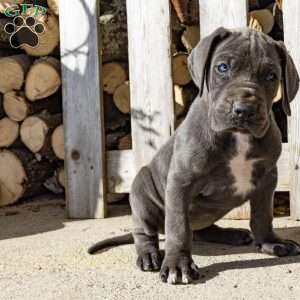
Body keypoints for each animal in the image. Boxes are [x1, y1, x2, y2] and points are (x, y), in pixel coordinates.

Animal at [89, 27, 300, 284]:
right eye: (222, 67)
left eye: (271, 76)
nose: (244, 110)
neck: (237, 137)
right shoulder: (182, 181)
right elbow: (178, 227)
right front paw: (177, 265)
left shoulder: (267, 179)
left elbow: (263, 215)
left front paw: (271, 243)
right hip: (142, 189)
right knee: (145, 230)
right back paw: (149, 255)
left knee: (199, 230)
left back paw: (231, 234)